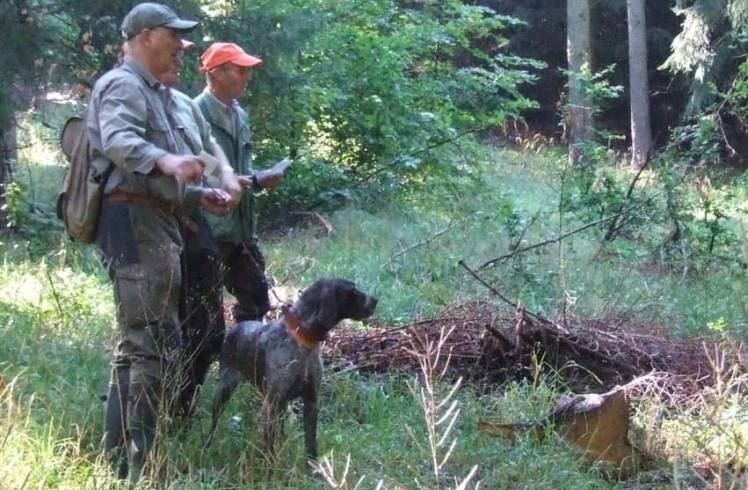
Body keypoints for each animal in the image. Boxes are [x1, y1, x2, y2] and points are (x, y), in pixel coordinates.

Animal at [209, 278, 376, 462]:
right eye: (353, 291)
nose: (375, 300)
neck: (303, 342)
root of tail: (238, 326)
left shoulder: (311, 401)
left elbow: (311, 445)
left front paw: (313, 468)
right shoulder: (272, 405)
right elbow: (270, 446)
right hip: (224, 390)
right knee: (214, 422)